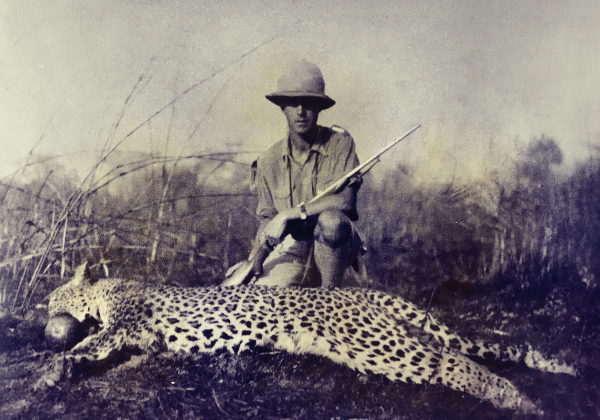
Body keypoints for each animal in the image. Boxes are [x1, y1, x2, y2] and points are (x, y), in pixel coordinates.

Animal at [39, 262, 576, 414]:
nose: (40, 315)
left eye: (50, 297)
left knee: (458, 363)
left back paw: (521, 401)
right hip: (365, 350)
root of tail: (360, 293)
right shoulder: (138, 338)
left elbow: (89, 344)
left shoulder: (126, 325)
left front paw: (52, 370)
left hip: (381, 345)